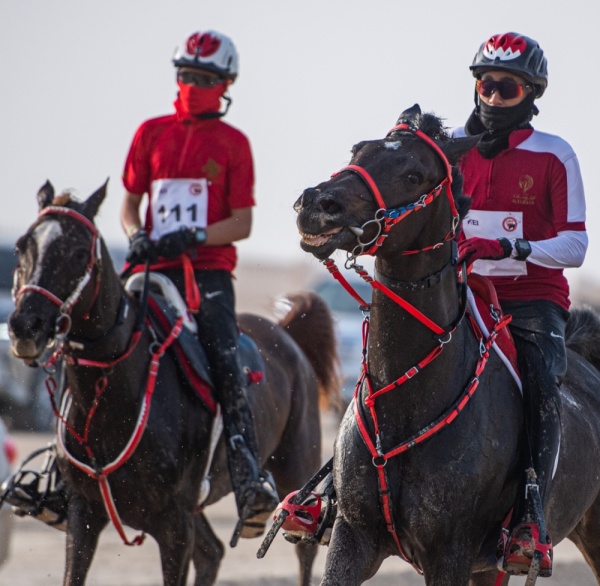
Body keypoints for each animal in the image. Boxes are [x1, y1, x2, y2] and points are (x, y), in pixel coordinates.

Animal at [9, 180, 340, 580]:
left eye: (77, 252)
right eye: (22, 245)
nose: (25, 326)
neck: (114, 394)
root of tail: (287, 333)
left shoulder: (175, 525)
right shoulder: (82, 513)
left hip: (297, 472)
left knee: (303, 553)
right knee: (212, 552)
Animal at [292, 102, 600, 580]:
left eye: (414, 174)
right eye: (359, 150)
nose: (317, 205)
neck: (408, 402)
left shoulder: (450, 553)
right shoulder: (352, 538)